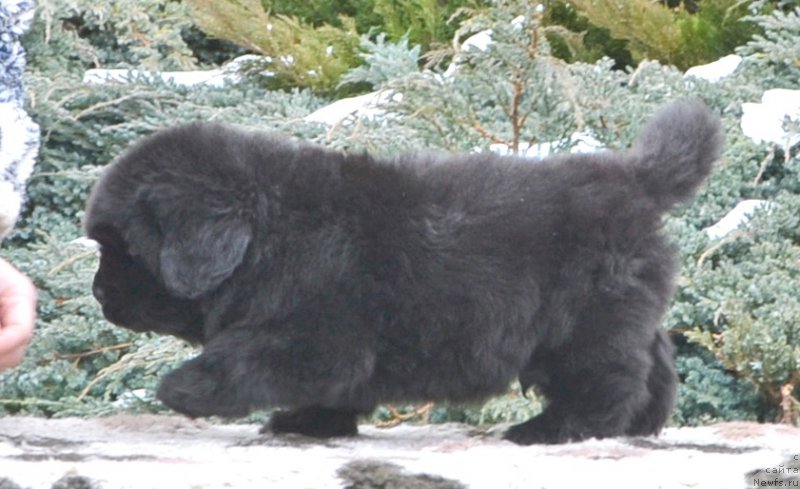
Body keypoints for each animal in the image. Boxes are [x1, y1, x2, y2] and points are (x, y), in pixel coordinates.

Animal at [84, 101, 720, 444]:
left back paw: (553, 429)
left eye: (122, 250)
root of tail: (634, 178)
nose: (96, 293)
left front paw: (182, 388)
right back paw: (641, 425)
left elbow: (247, 360)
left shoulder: (311, 336)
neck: (267, 233)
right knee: (655, 361)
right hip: (624, 311)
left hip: (582, 327)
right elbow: (328, 390)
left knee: (607, 379)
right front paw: (310, 422)